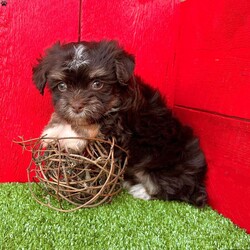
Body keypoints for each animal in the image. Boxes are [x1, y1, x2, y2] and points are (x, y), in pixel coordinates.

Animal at [32, 40, 207, 206]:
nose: (76, 106)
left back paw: (141, 190)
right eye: (62, 86)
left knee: (170, 188)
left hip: (167, 165)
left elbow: (97, 123)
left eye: (97, 84)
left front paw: (72, 138)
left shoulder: (119, 125)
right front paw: (52, 129)